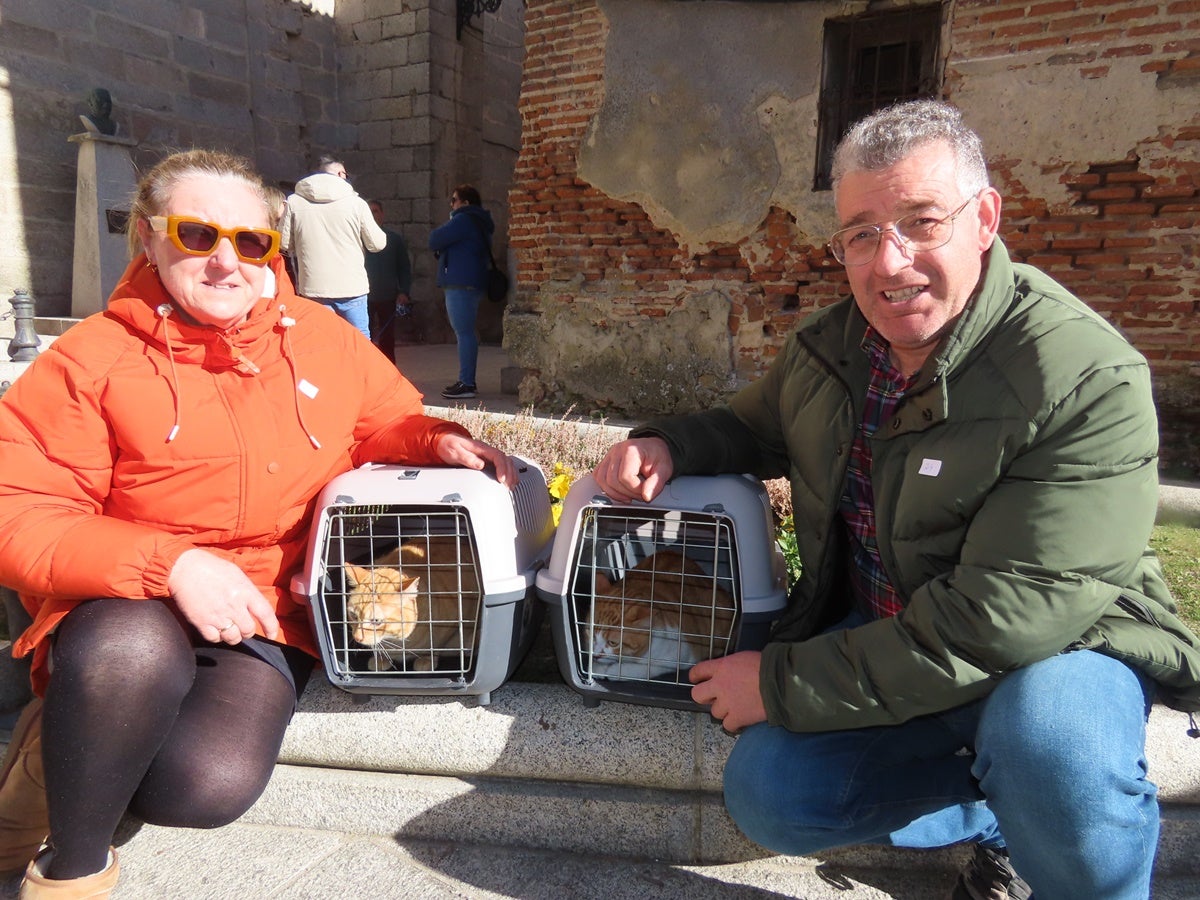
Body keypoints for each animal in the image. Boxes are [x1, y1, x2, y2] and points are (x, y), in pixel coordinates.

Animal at [340, 540, 480, 672]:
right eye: (353, 615)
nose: (357, 637)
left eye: (376, 621)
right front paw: (381, 659)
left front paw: (427, 658)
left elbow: (436, 644)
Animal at [578, 549, 734, 681]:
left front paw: (614, 671)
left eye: (613, 643)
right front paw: (596, 667)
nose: (595, 655)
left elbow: (644, 668)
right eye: (590, 633)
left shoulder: (677, 656)